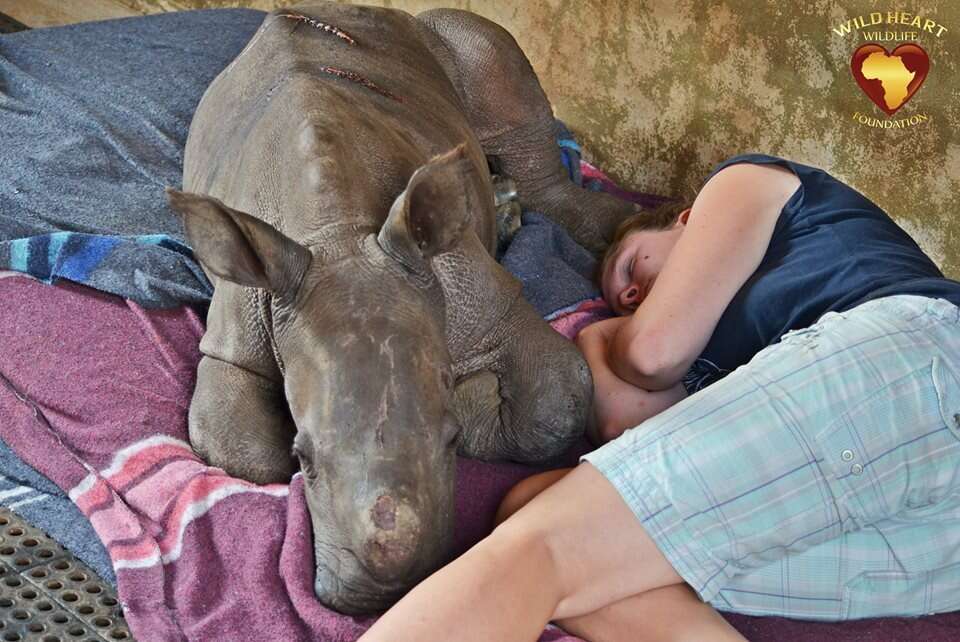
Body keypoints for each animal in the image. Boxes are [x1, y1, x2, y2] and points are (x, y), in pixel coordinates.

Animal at [169, 2, 632, 612]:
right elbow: (236, 449)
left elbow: (554, 408)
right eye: (304, 458)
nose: (379, 597)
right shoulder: (239, 330)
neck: (335, 232)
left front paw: (474, 395)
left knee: (490, 60)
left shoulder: (477, 293)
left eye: (451, 441)